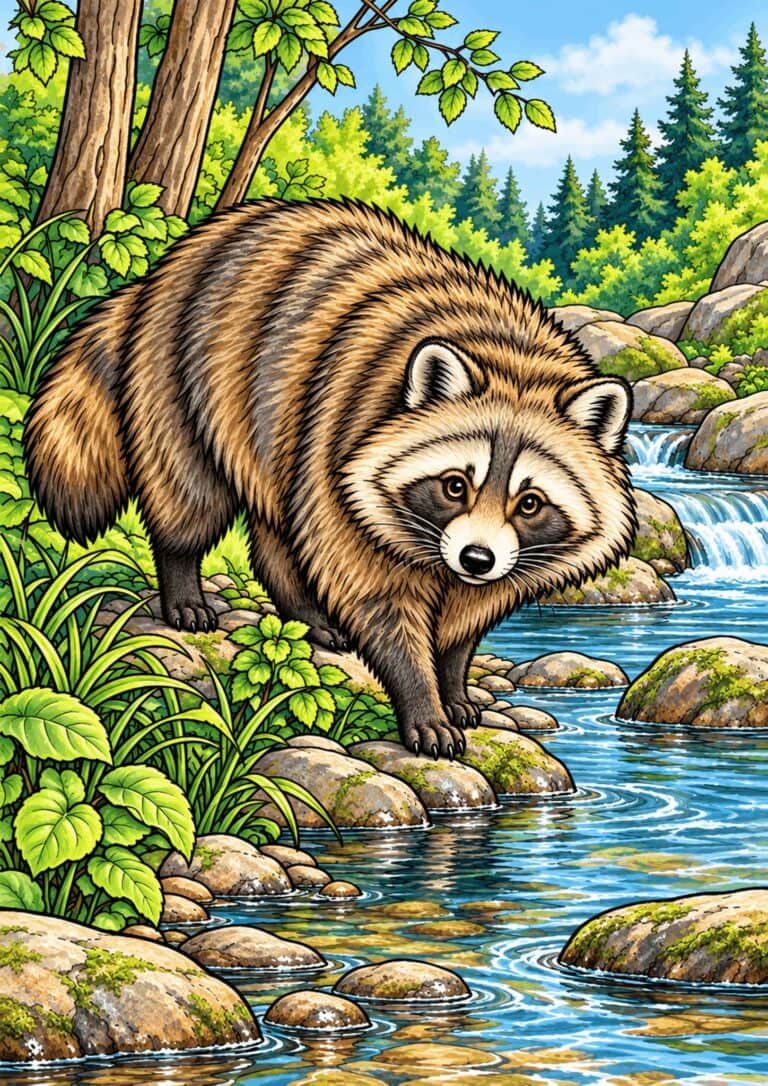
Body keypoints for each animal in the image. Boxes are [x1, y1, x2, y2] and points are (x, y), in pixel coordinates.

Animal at [25, 199, 636, 758]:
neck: (513, 359)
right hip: (185, 378)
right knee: (191, 493)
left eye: (529, 502)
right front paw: (422, 698)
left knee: (279, 529)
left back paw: (304, 611)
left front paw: (454, 679)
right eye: (455, 485)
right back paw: (185, 583)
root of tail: (165, 267)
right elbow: (375, 597)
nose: (476, 558)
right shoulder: (342, 443)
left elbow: (467, 616)